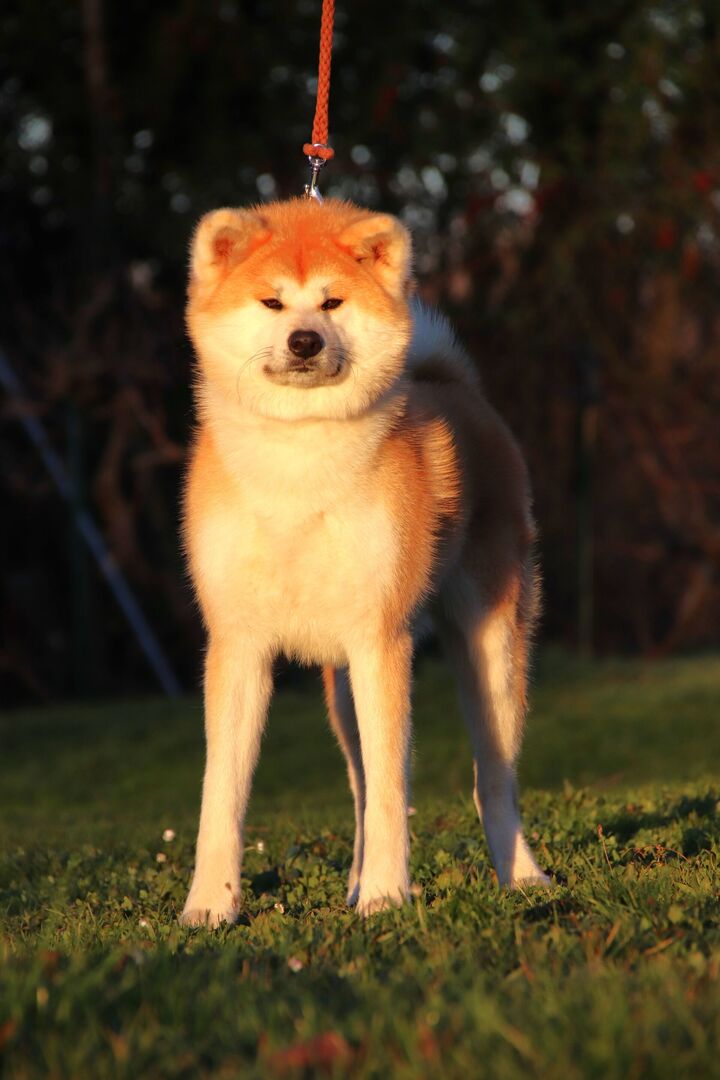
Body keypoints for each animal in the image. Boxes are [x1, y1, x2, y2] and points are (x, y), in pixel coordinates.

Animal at [180, 197, 549, 925]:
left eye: (332, 302)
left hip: (490, 651)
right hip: (345, 687)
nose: (305, 341)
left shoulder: (384, 641)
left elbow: (390, 791)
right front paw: (209, 905)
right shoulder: (238, 644)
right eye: (272, 302)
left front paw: (386, 895)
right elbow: (221, 794)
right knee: (357, 787)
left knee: (493, 781)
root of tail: (452, 387)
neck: (297, 460)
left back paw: (521, 877)